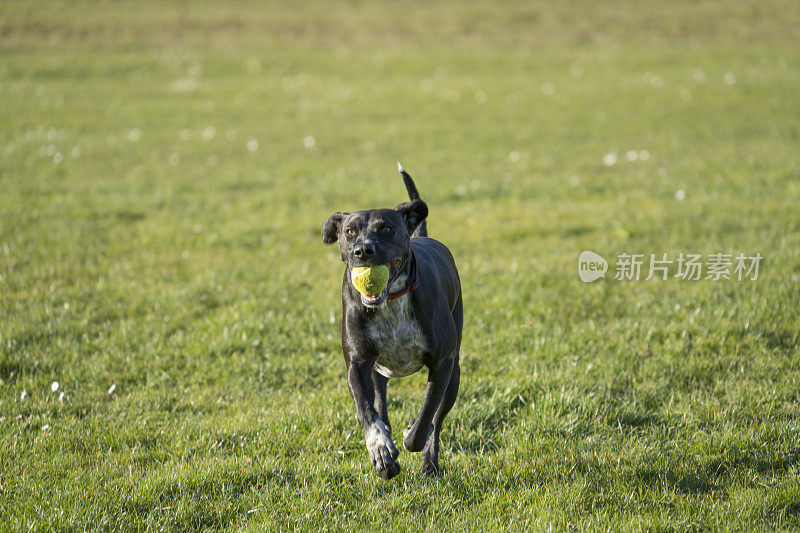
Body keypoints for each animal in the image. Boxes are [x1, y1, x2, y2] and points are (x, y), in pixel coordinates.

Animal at [320, 165, 462, 478]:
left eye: (386, 228)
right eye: (349, 232)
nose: (363, 250)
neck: (391, 302)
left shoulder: (442, 364)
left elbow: (426, 417)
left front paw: (410, 434)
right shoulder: (358, 364)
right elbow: (366, 410)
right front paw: (380, 448)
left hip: (455, 372)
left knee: (437, 419)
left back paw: (429, 463)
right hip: (378, 372)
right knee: (380, 406)